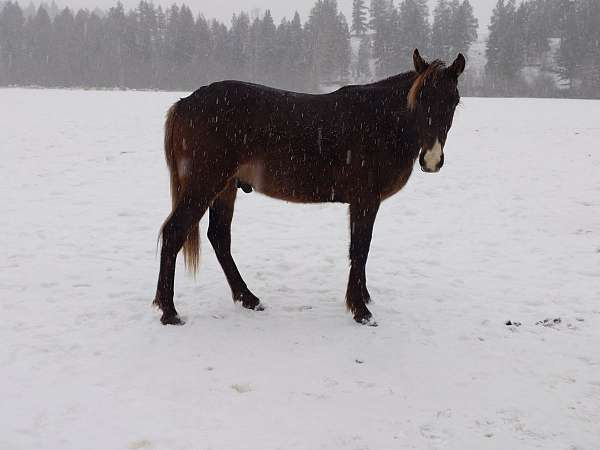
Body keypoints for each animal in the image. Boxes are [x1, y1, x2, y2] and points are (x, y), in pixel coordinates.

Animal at [152, 49, 466, 326]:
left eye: (454, 101)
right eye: (420, 98)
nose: (432, 159)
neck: (380, 121)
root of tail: (185, 103)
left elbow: (361, 249)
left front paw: (363, 297)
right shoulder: (365, 200)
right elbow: (359, 249)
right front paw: (360, 309)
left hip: (225, 189)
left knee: (219, 237)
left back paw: (248, 298)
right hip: (204, 185)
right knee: (174, 233)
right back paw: (169, 312)